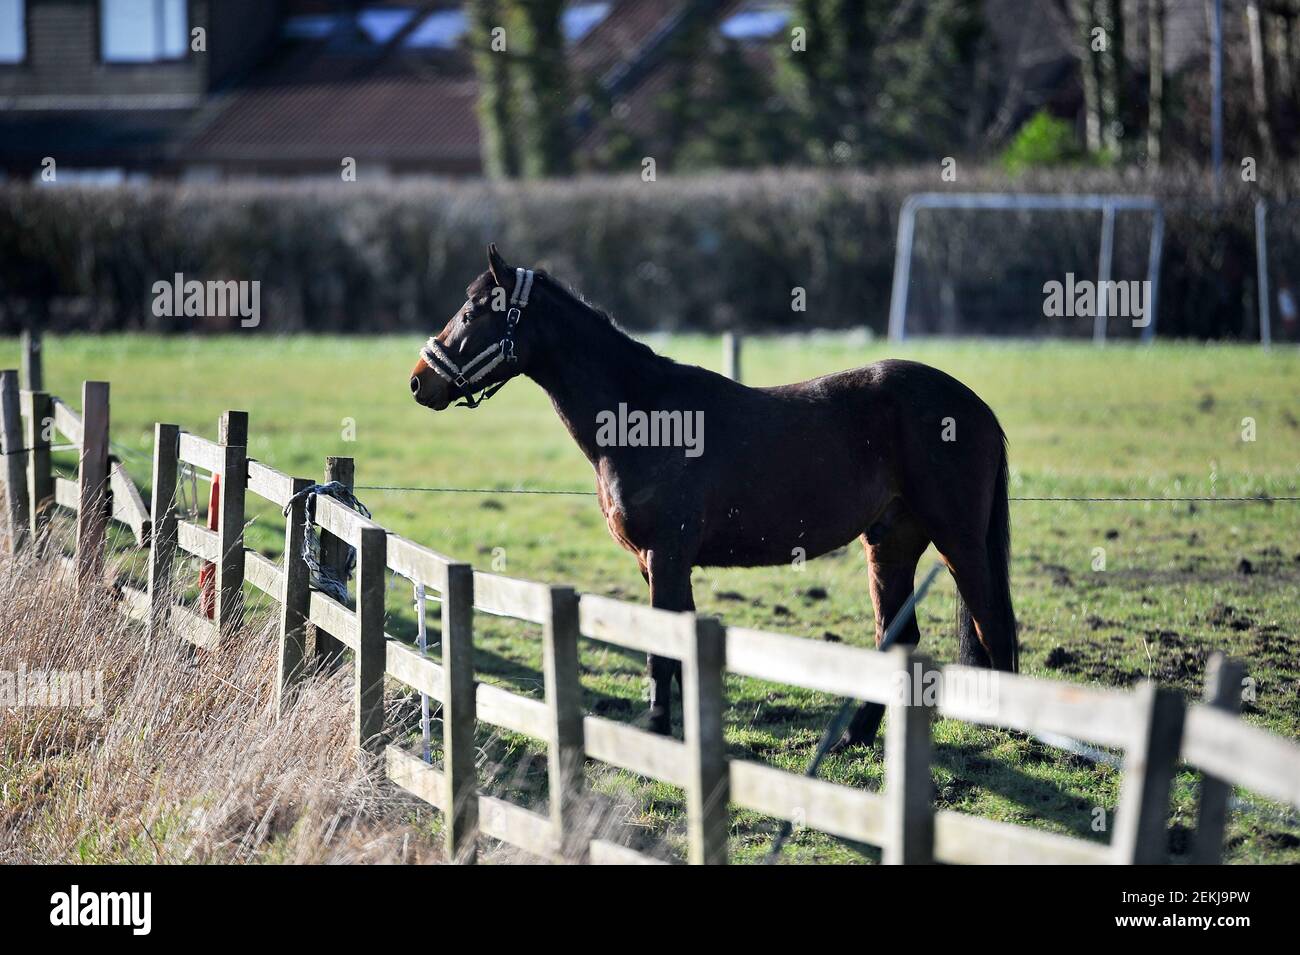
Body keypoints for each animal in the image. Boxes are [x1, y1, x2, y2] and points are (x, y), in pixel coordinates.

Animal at [408, 244, 1013, 748]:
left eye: (472, 313)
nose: (419, 381)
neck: (644, 417)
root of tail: (977, 408)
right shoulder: (660, 563)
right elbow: (678, 654)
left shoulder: (667, 555)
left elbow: (660, 656)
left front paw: (657, 738)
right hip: (890, 542)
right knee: (900, 635)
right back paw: (852, 738)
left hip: (958, 541)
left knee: (994, 625)